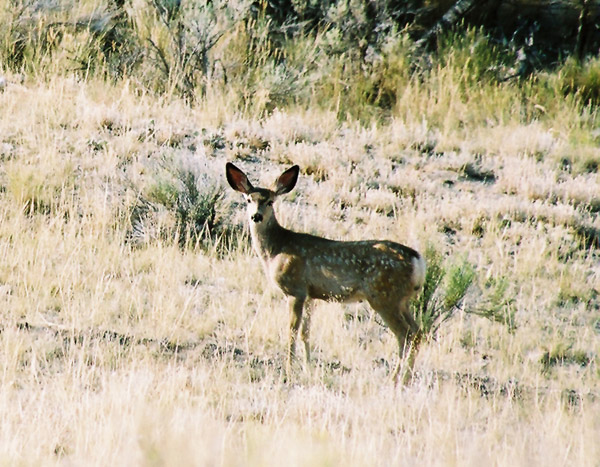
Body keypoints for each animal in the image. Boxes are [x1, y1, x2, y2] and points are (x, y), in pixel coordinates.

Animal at [226, 163, 426, 386]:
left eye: (270, 201)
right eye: (248, 200)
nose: (256, 216)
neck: (276, 250)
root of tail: (417, 260)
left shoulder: (295, 290)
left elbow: (291, 331)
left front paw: (288, 371)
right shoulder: (310, 295)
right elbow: (305, 333)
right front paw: (308, 367)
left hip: (384, 297)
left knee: (404, 334)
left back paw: (397, 379)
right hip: (402, 300)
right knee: (417, 332)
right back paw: (404, 377)